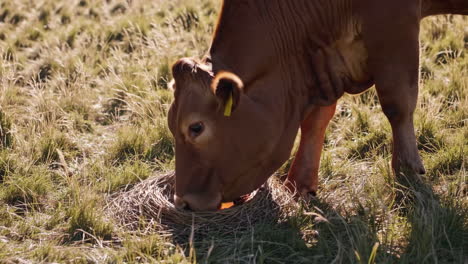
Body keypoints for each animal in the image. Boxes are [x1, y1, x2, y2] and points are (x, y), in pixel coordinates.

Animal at [166, 0, 466, 210]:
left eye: (196, 127)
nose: (184, 202)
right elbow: (315, 120)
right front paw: (298, 184)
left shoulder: (394, 27)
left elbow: (398, 102)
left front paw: (406, 170)